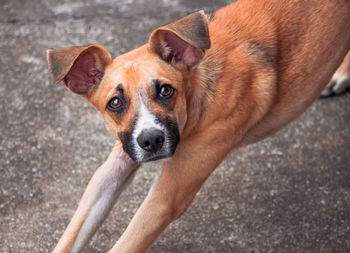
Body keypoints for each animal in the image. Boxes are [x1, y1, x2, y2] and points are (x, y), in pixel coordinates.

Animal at [46, 0, 350, 252]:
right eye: (115, 102)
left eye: (166, 90)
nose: (151, 140)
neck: (198, 93)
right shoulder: (114, 166)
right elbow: (73, 233)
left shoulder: (169, 195)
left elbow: (126, 244)